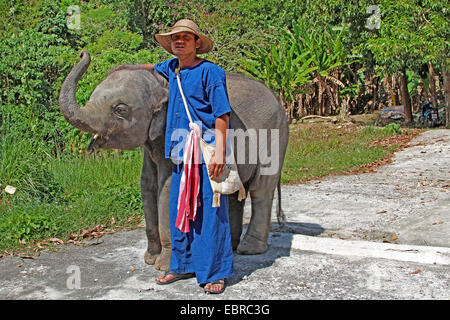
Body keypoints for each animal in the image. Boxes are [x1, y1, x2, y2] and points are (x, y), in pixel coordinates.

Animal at [59, 50, 288, 270]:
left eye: (120, 110)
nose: (82, 53)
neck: (162, 84)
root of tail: (278, 99)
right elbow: (148, 186)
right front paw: (150, 260)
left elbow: (168, 188)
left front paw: (163, 266)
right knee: (233, 193)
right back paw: (231, 248)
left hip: (273, 137)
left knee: (261, 189)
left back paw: (249, 250)